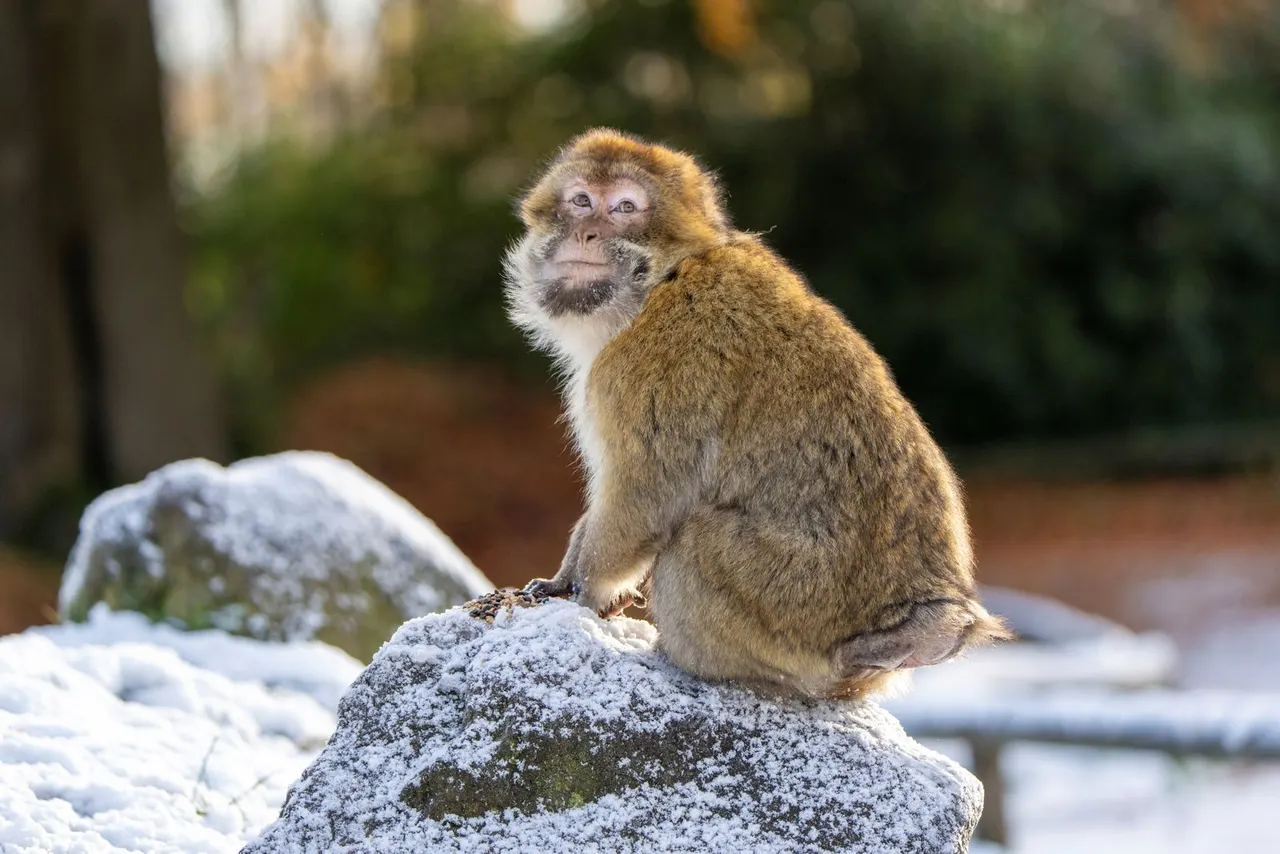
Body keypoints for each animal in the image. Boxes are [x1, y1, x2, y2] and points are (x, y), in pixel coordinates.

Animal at [504, 128, 1011, 699]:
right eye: (581, 201)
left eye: (625, 208)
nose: (587, 233)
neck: (658, 282)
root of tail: (912, 626)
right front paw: (563, 578)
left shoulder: (651, 365)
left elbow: (645, 496)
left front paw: (579, 590)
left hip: (794, 606)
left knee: (692, 545)